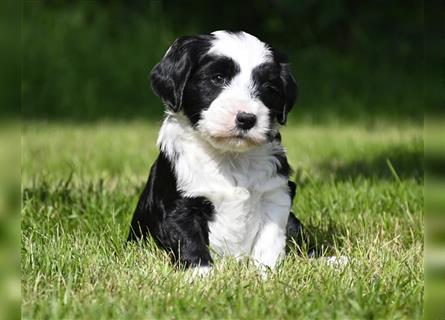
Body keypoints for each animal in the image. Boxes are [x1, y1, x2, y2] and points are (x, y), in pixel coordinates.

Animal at [126, 30, 304, 276]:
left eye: (269, 87)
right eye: (218, 78)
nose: (246, 118)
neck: (230, 157)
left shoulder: (276, 194)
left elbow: (270, 241)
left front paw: (265, 274)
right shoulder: (179, 205)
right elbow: (190, 241)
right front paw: (202, 277)